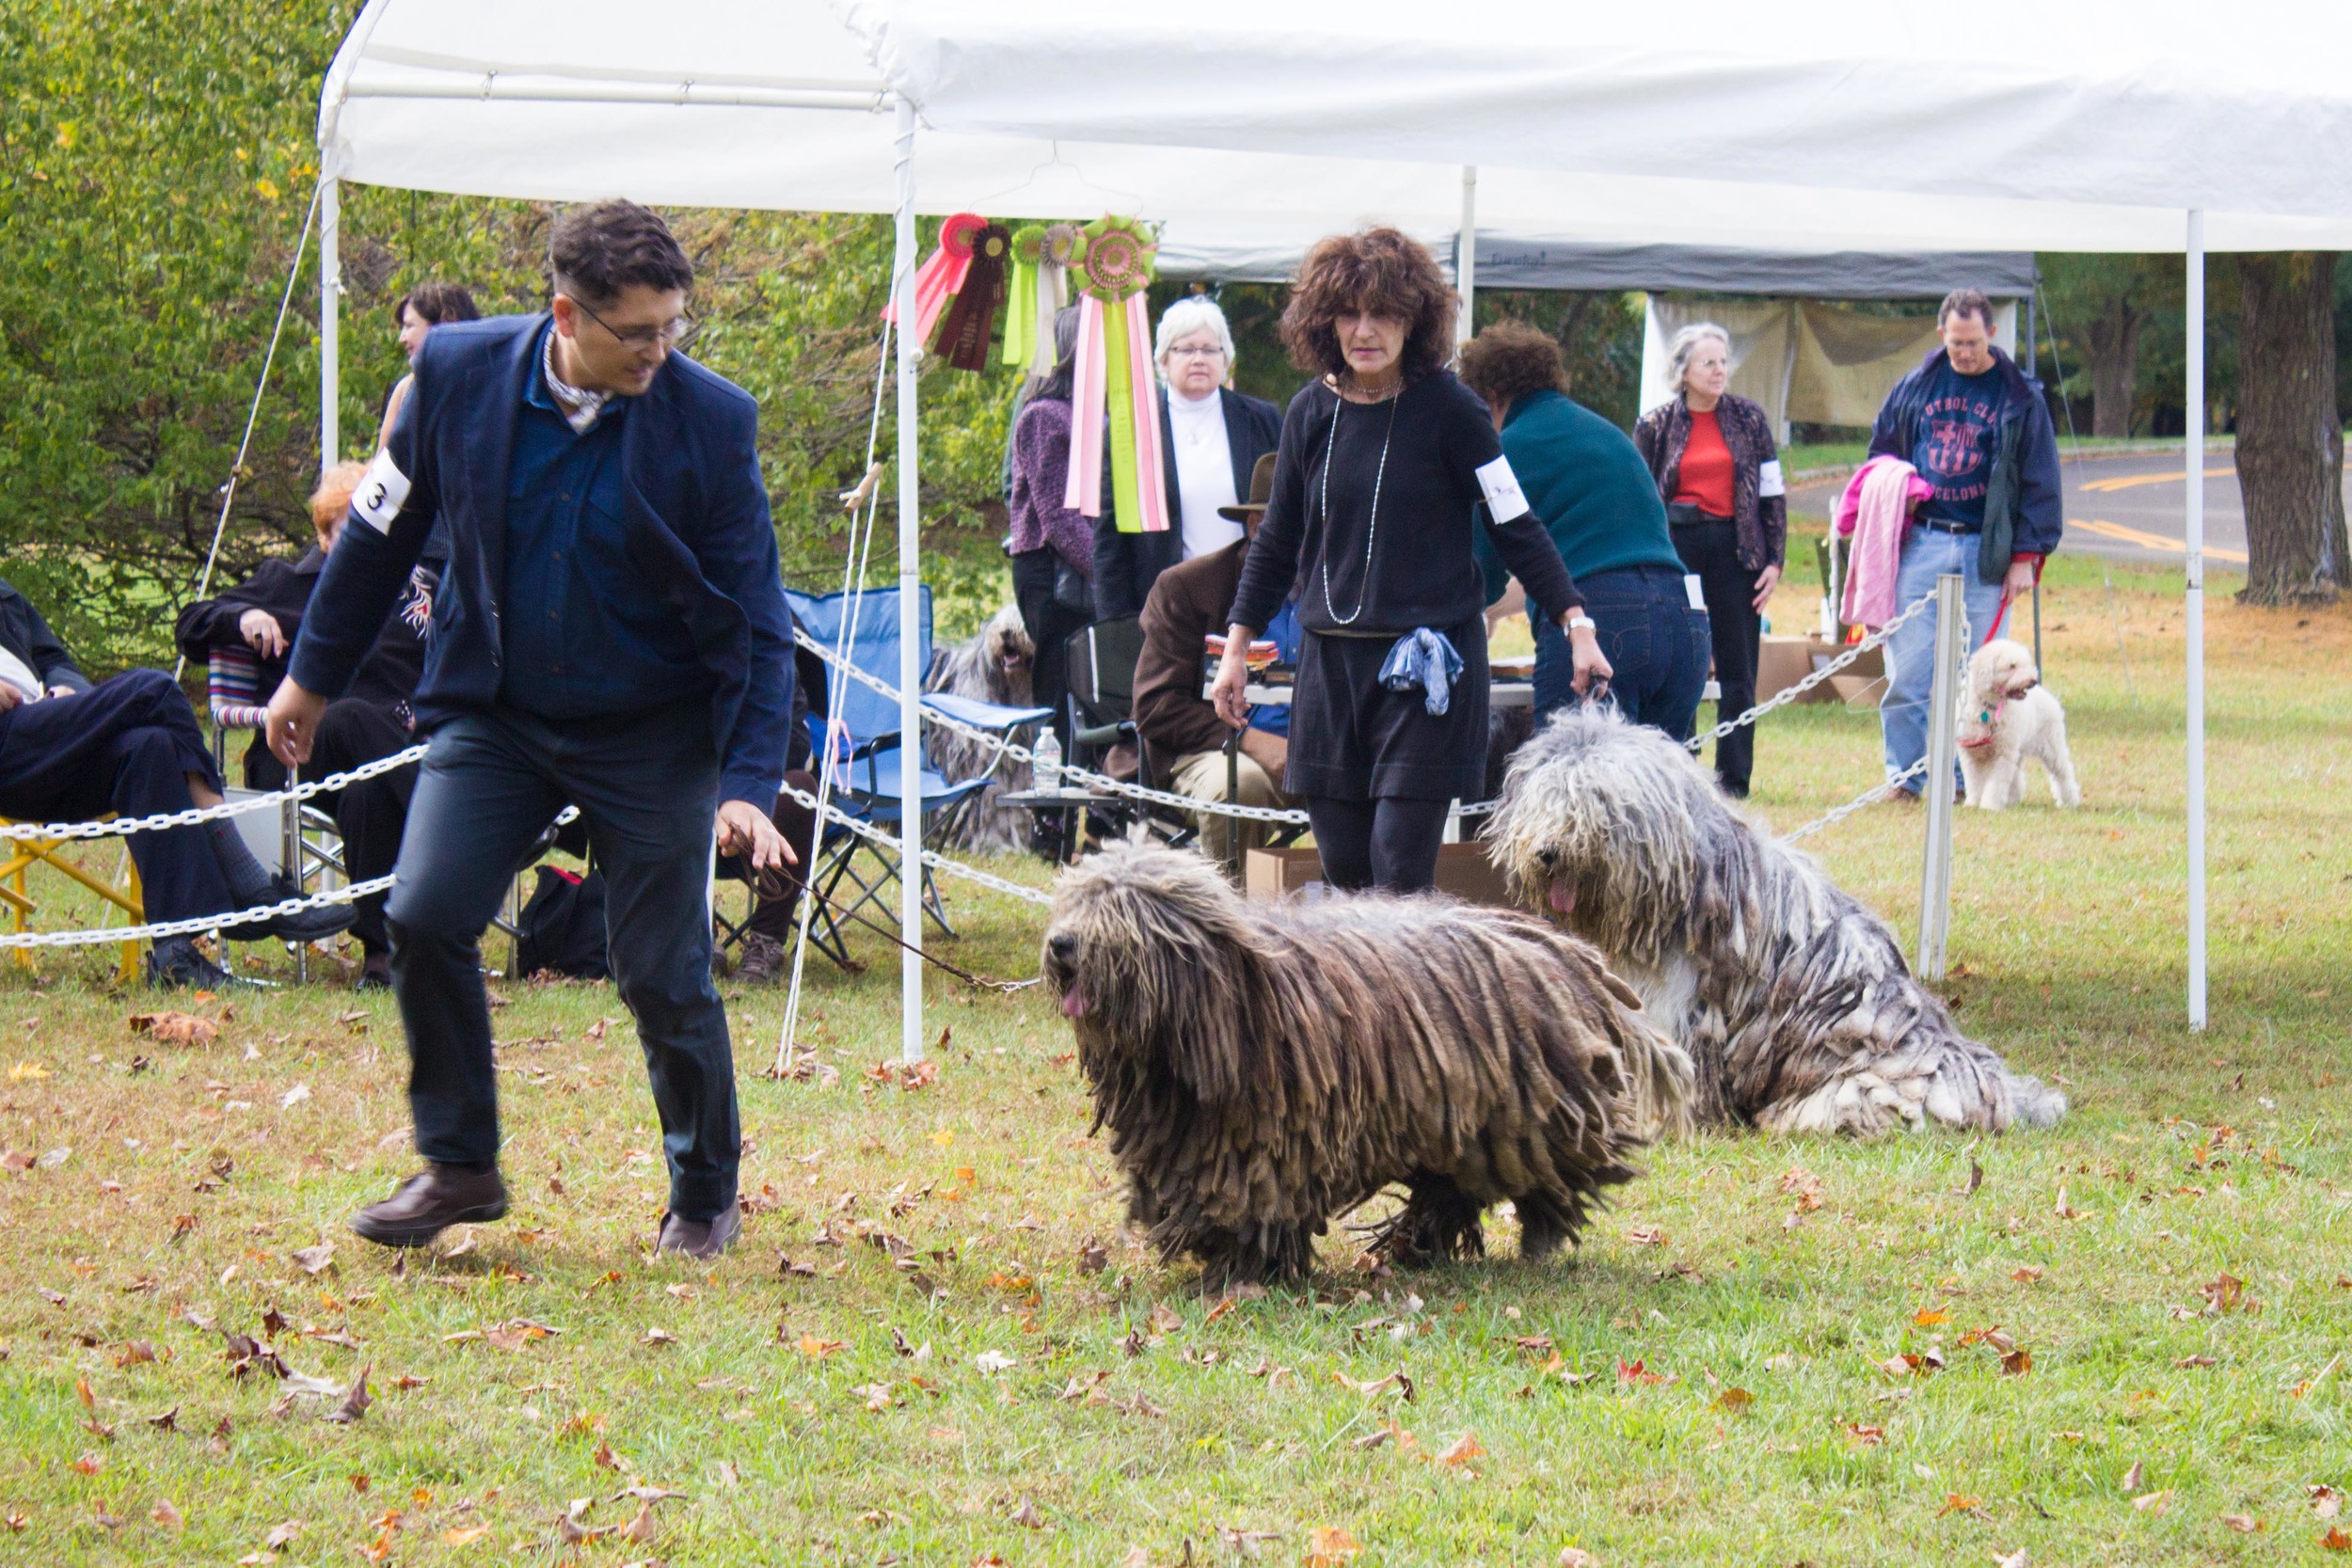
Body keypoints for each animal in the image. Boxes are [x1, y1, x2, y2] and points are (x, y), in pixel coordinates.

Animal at [1040, 846, 1684, 1288]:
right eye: (1076, 900)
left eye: (1122, 911)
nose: (1062, 945)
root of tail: (1569, 954)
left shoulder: (1274, 1143)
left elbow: (1261, 1204)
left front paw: (1245, 1269)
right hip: (1459, 1127)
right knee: (1451, 1189)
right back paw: (1413, 1244)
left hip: (1530, 1117)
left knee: (1542, 1181)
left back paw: (1532, 1241)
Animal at [1486, 709, 2060, 1142]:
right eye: (1542, 801)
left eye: (1595, 803)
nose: (1548, 852)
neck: (1691, 885)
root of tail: (1979, 1075)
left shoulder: (1680, 1004)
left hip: (1865, 1085)